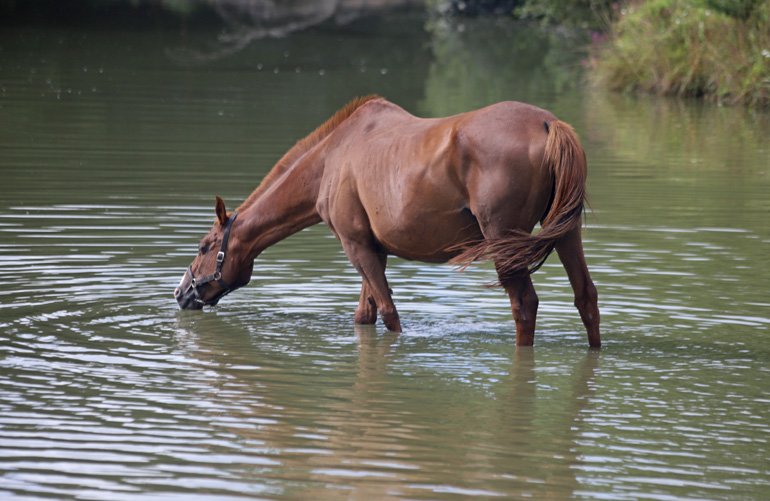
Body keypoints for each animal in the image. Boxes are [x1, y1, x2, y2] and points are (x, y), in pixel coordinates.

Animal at [174, 96, 600, 347]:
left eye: (204, 246)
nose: (181, 293)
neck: (330, 158)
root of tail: (548, 124)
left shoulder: (356, 246)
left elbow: (388, 313)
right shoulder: (372, 249)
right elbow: (366, 315)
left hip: (504, 241)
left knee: (524, 305)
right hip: (567, 233)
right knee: (586, 297)